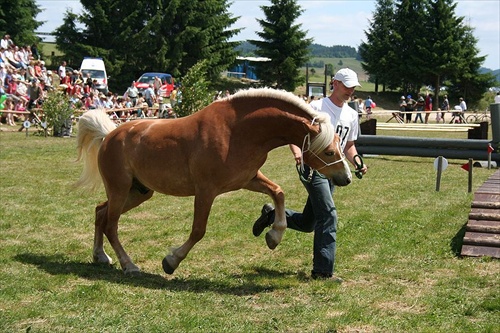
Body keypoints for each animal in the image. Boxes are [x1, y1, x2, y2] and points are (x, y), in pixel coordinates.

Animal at [75, 87, 352, 274]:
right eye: (329, 152)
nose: (346, 178)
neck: (237, 130)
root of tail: (111, 134)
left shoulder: (248, 179)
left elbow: (278, 192)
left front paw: (273, 236)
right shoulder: (206, 191)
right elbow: (198, 230)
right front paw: (171, 261)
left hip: (138, 192)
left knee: (100, 213)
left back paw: (100, 257)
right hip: (120, 190)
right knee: (111, 225)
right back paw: (129, 264)